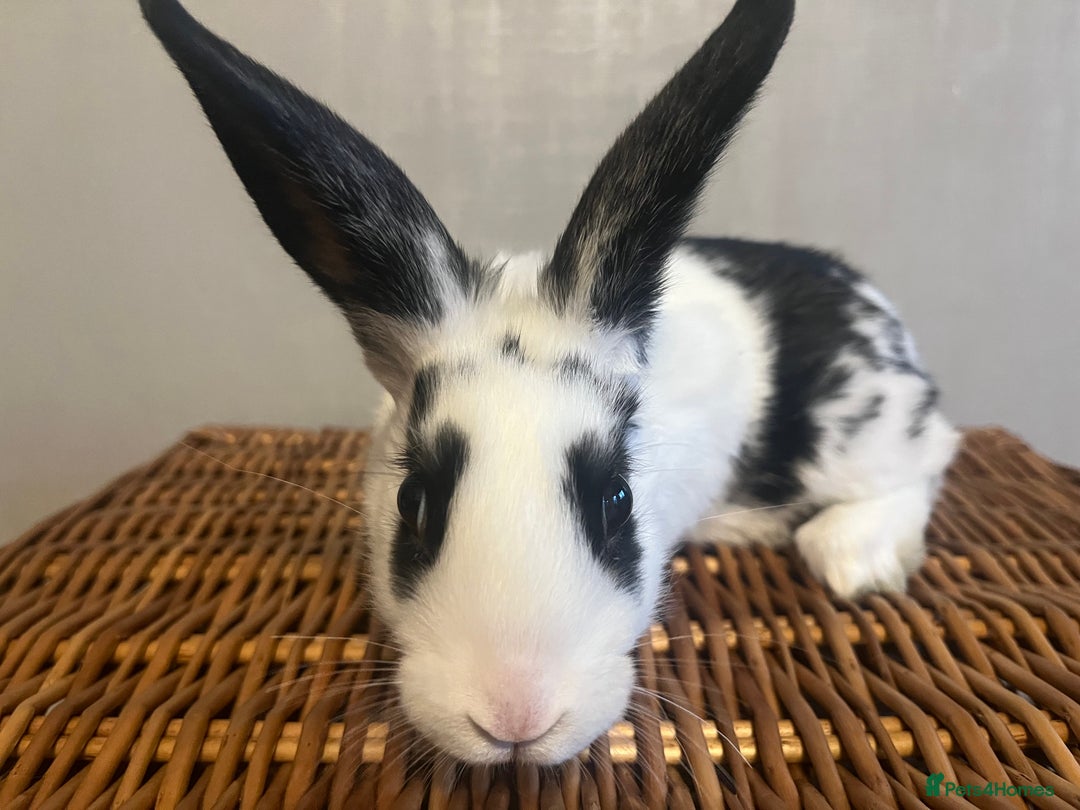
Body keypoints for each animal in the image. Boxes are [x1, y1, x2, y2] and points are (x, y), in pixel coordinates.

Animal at [140, 0, 959, 765]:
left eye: (617, 501)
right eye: (413, 503)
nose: (514, 718)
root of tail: (865, 296)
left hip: (865, 432)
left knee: (932, 455)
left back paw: (854, 559)